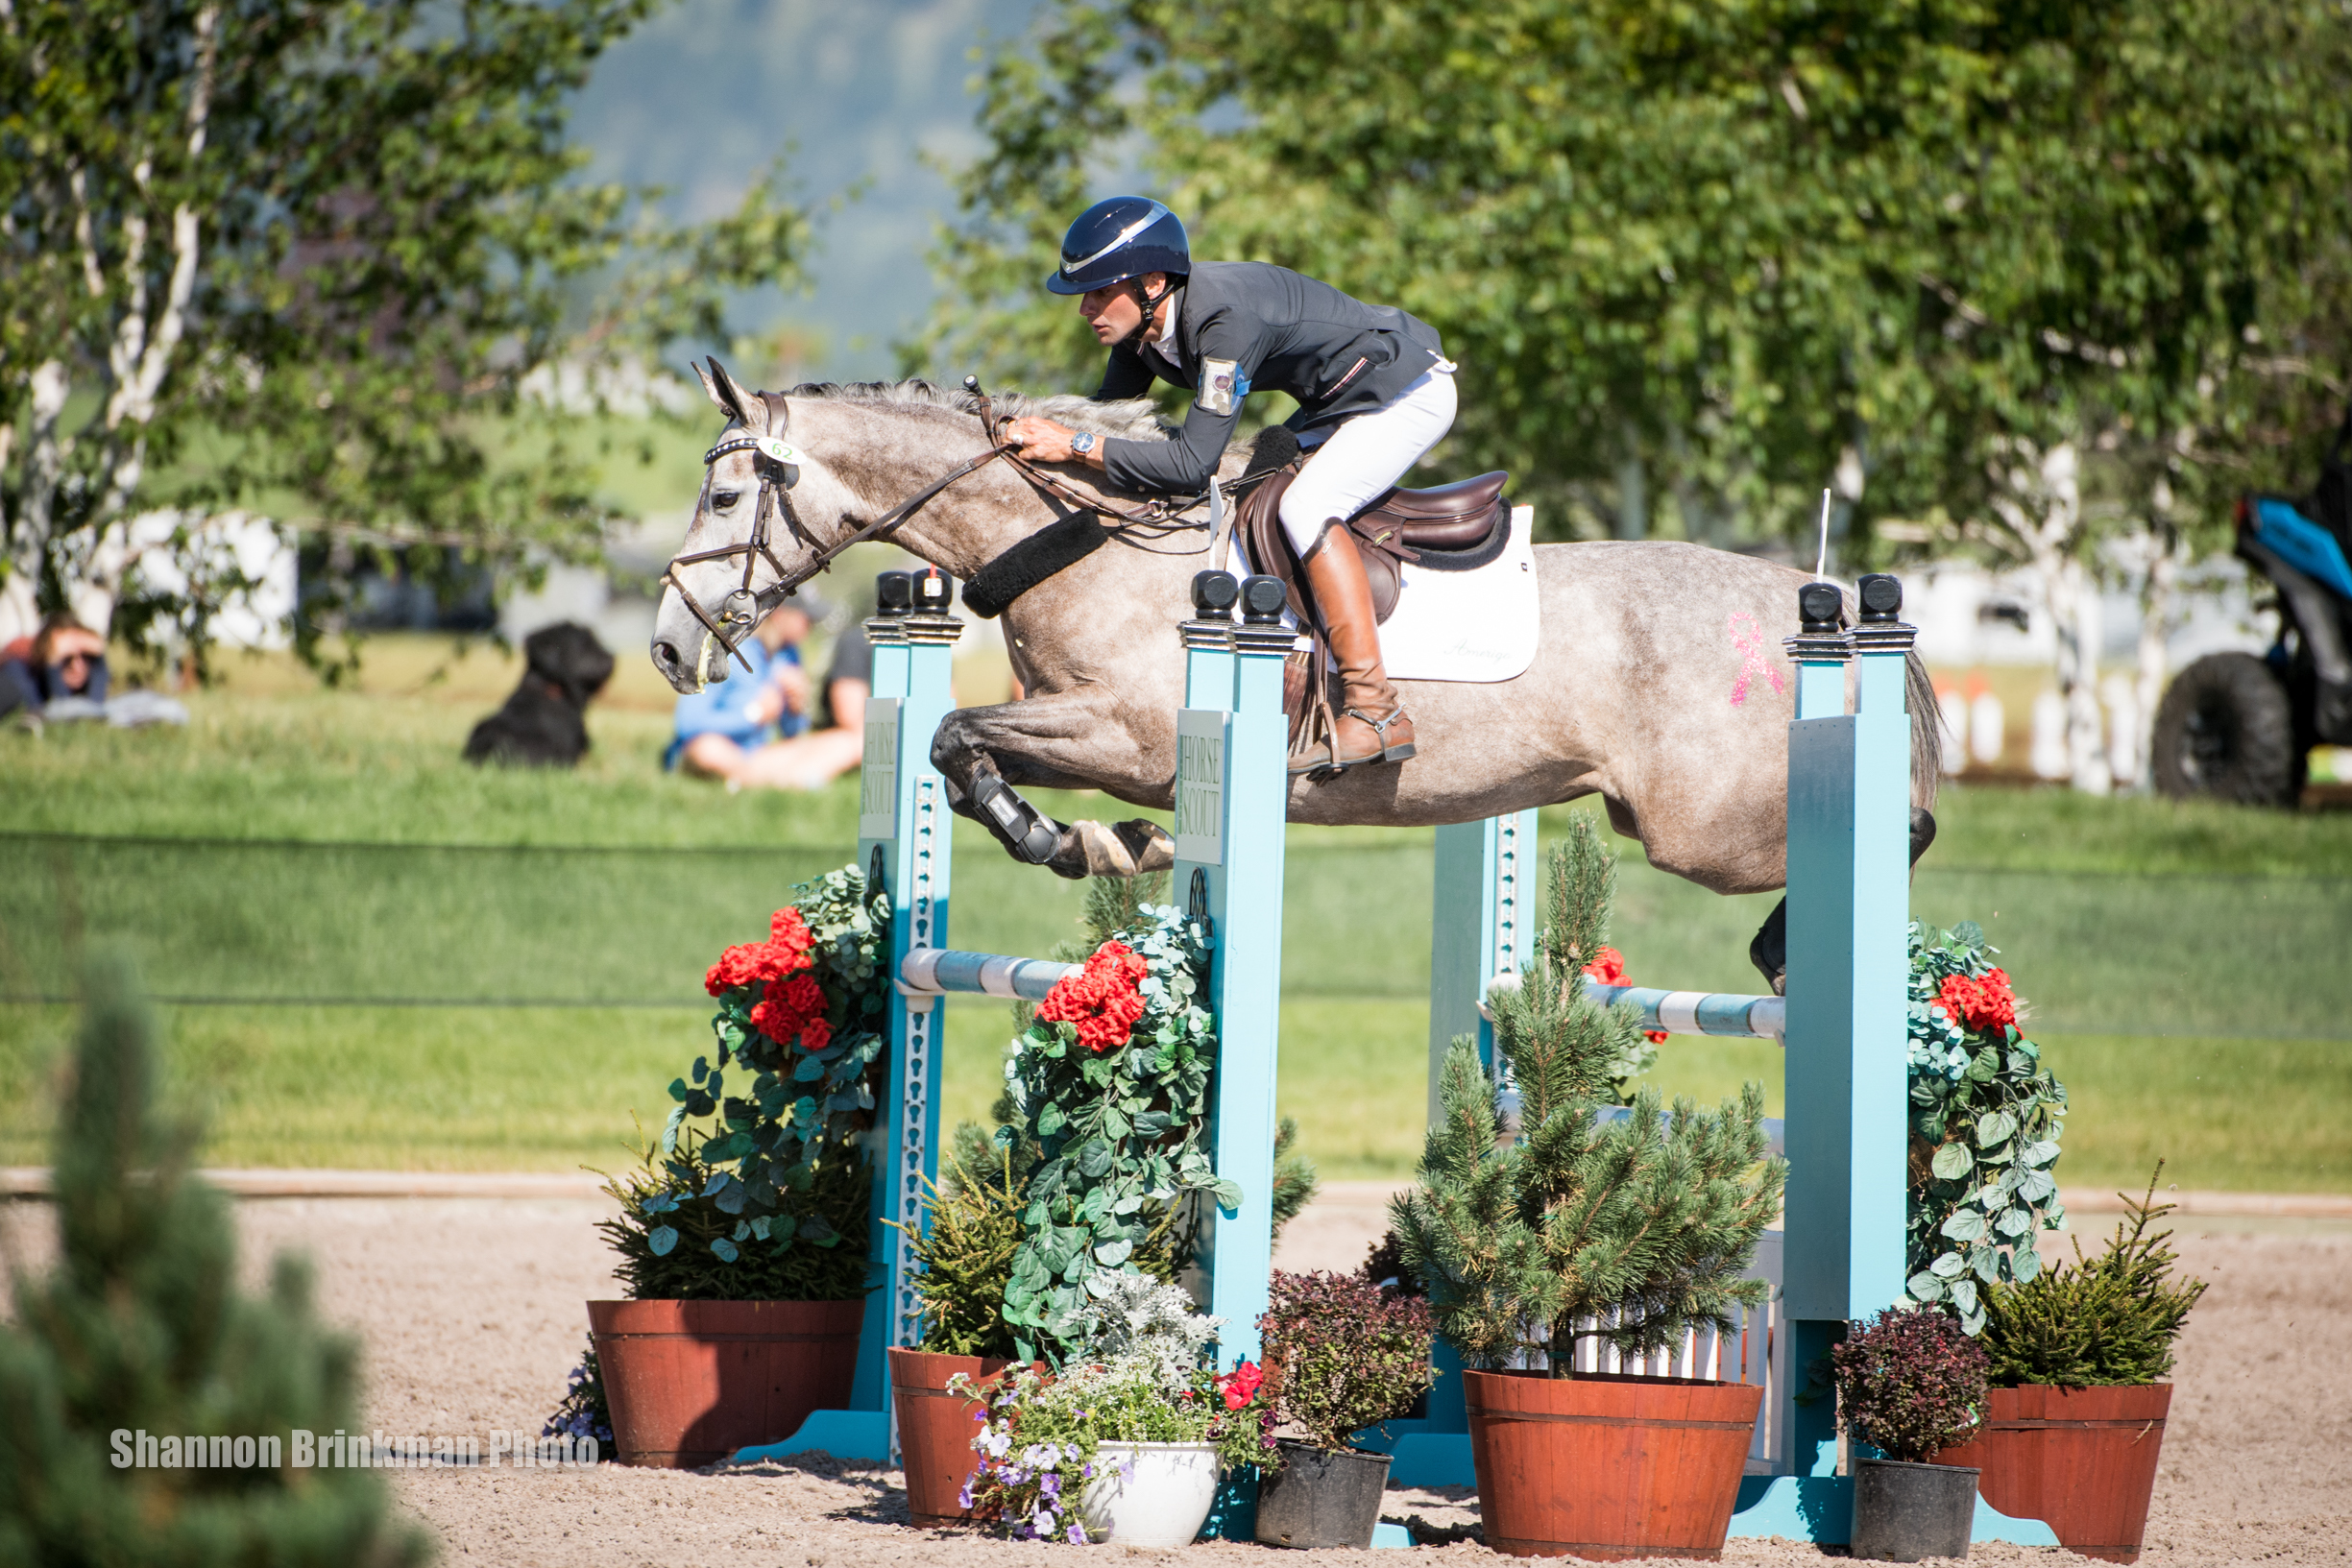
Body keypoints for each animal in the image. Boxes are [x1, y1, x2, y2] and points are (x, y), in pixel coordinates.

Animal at [653, 369, 1937, 982]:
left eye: (723, 494)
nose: (669, 647)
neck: (1084, 538)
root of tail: (1800, 597)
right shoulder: (1097, 736)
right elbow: (957, 748)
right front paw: (1106, 846)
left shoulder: (1126, 736)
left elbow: (960, 739)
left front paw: (1066, 840)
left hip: (1698, 827)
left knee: (1885, 831)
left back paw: (1800, 946)